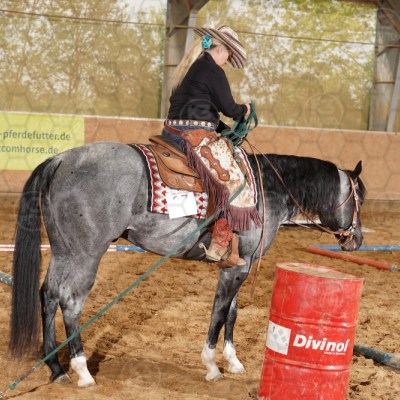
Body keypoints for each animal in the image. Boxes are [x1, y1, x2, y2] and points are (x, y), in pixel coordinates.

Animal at [9, 141, 366, 387]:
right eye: (359, 198)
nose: (357, 239)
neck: (268, 190)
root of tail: (60, 160)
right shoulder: (237, 269)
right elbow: (219, 313)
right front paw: (211, 366)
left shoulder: (237, 265)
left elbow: (232, 313)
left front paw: (233, 362)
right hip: (86, 253)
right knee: (70, 301)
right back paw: (82, 370)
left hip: (64, 249)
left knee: (48, 294)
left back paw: (56, 368)